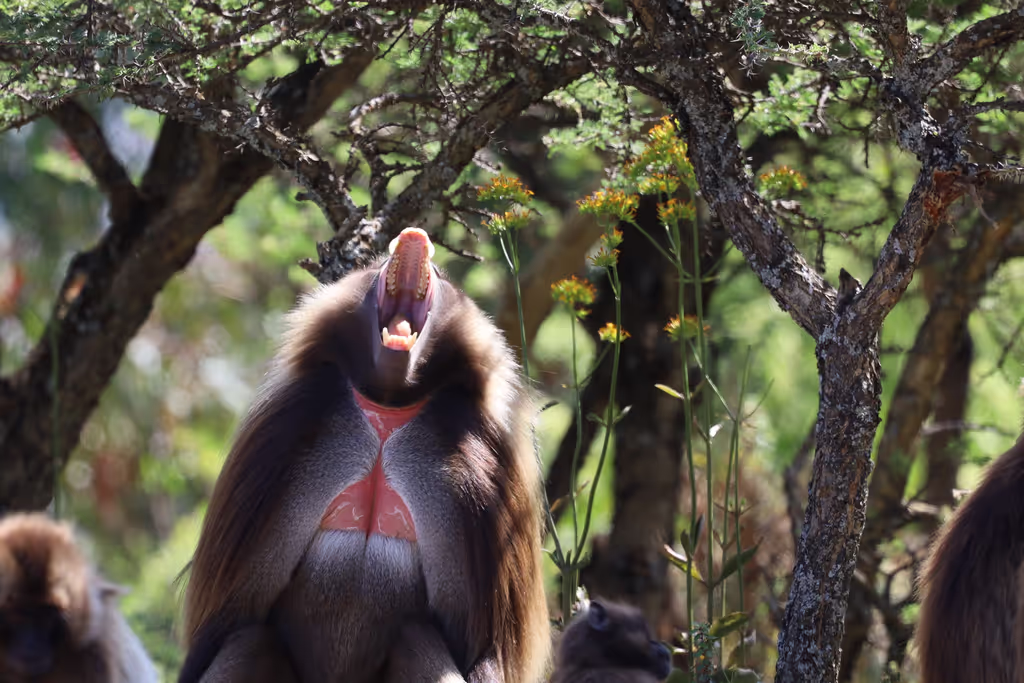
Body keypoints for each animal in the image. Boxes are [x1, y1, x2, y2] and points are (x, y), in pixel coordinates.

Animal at [178, 227, 550, 683]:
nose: (414, 234)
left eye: (442, 275)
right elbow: (223, 627)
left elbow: (486, 654)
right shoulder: (285, 429)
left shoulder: (481, 470)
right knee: (249, 642)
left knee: (417, 639)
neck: (387, 407)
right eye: (376, 268)